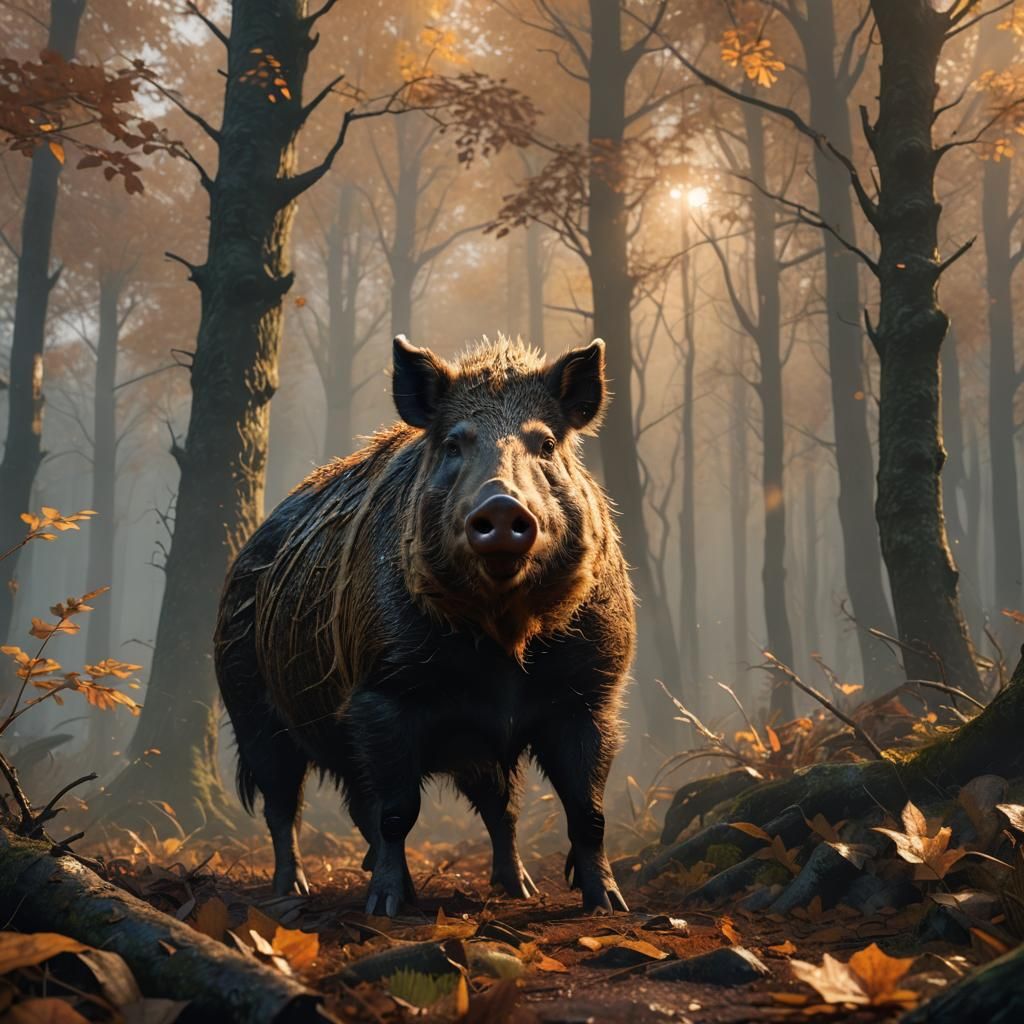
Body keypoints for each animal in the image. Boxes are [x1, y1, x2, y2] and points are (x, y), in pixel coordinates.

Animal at [214, 335, 635, 915]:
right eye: (454, 444)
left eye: (547, 444)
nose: (501, 505)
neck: (504, 637)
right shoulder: (381, 691)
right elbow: (398, 811)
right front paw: (386, 908)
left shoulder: (592, 693)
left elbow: (587, 810)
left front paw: (609, 905)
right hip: (250, 705)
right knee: (285, 803)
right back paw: (293, 890)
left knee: (490, 808)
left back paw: (518, 887)